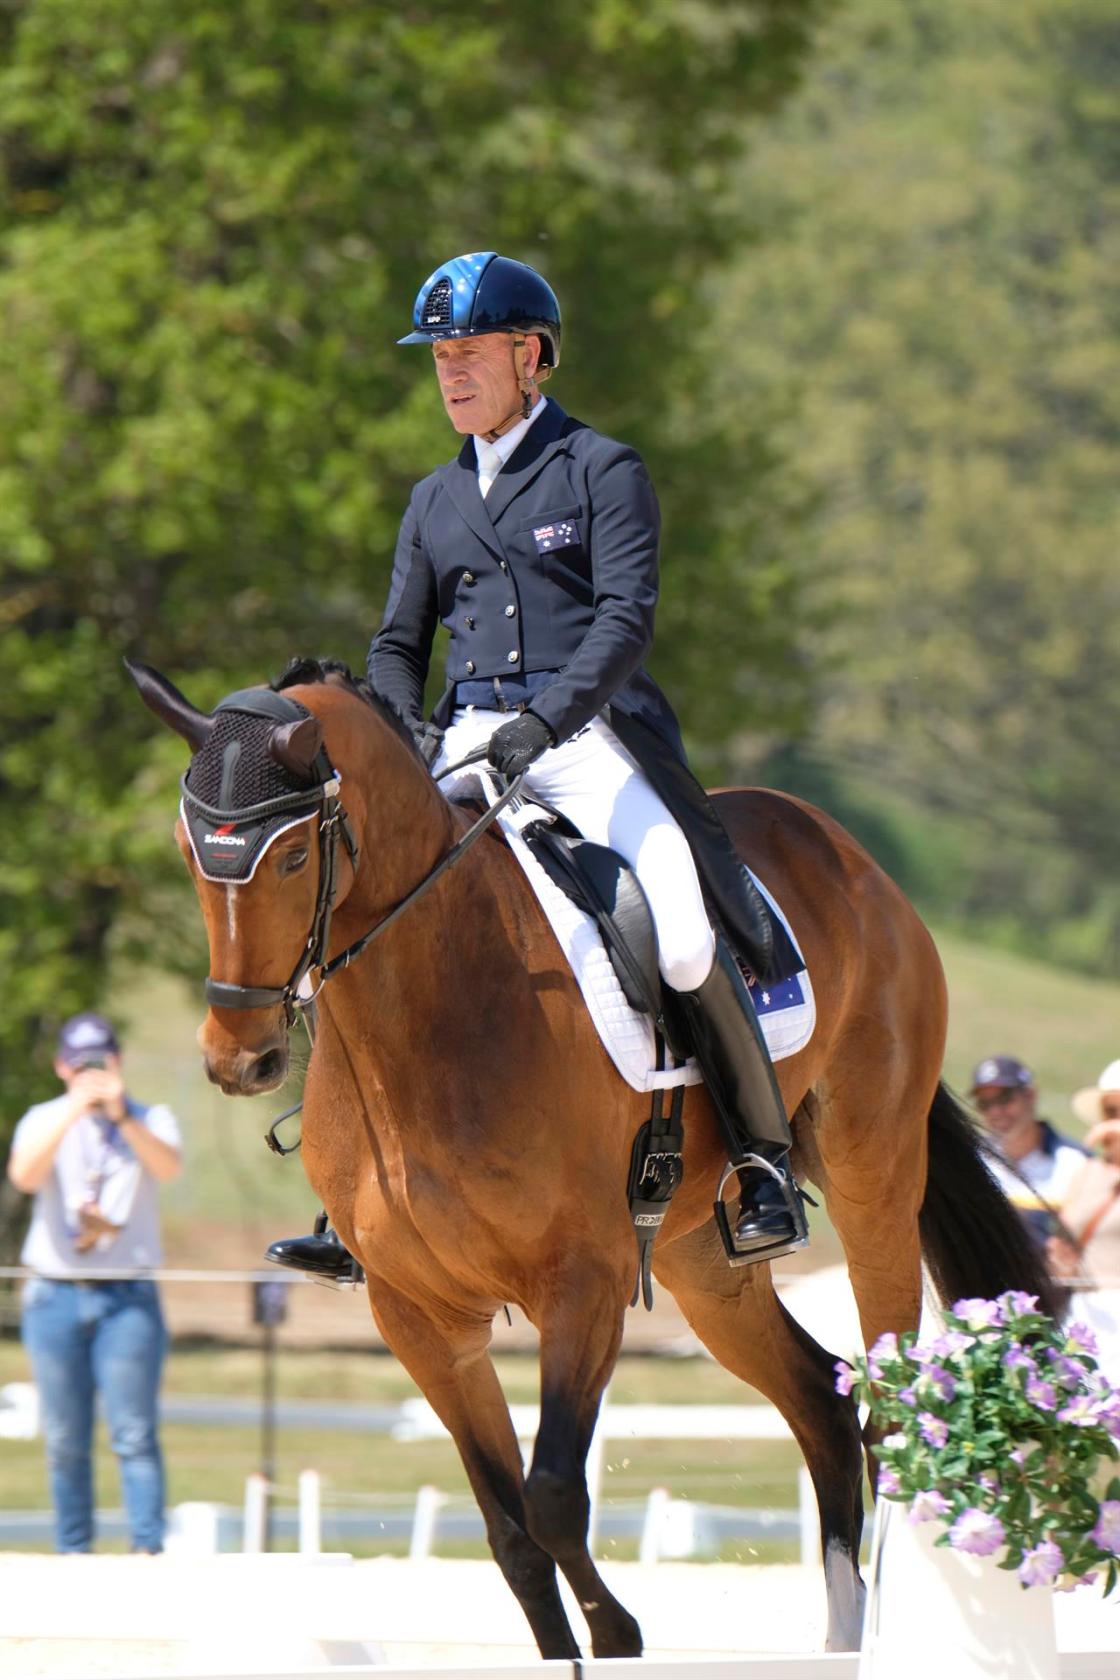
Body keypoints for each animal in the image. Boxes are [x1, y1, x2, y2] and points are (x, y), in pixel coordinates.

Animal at [129, 655, 1054, 1661]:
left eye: (295, 858)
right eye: (187, 851)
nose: (240, 1060)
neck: (432, 1010)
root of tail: (850, 857)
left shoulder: (581, 1286)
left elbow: (554, 1500)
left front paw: (620, 1635)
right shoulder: (419, 1316)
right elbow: (509, 1532)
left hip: (871, 1177)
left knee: (889, 1409)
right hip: (701, 1260)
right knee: (820, 1402)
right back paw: (841, 1635)